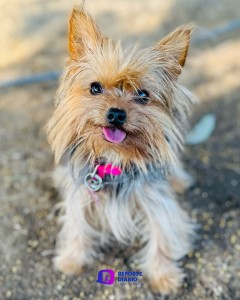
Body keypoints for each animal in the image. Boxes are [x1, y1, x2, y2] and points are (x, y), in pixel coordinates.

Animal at [46, 5, 195, 294]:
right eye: (95, 88)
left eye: (143, 95)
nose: (116, 113)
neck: (116, 158)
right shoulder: (81, 193)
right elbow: (77, 224)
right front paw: (72, 258)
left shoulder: (155, 199)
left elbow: (162, 234)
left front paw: (164, 276)